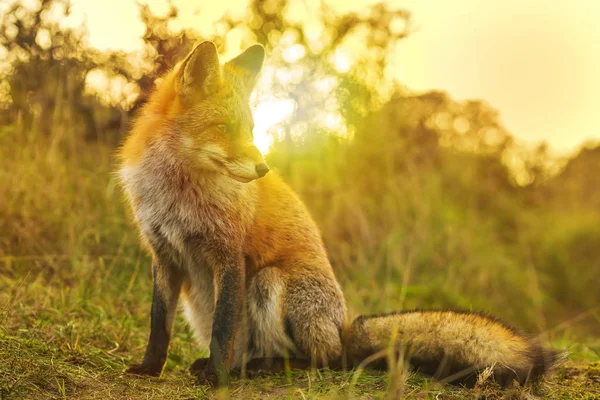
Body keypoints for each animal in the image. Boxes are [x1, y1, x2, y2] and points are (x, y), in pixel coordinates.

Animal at [118, 41, 556, 388]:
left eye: (251, 129)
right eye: (224, 128)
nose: (263, 169)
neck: (178, 193)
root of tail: (342, 329)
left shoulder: (229, 257)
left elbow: (223, 330)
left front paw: (216, 378)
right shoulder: (164, 256)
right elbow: (159, 328)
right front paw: (149, 370)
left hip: (269, 282)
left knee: (321, 361)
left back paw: (262, 367)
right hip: (203, 304)